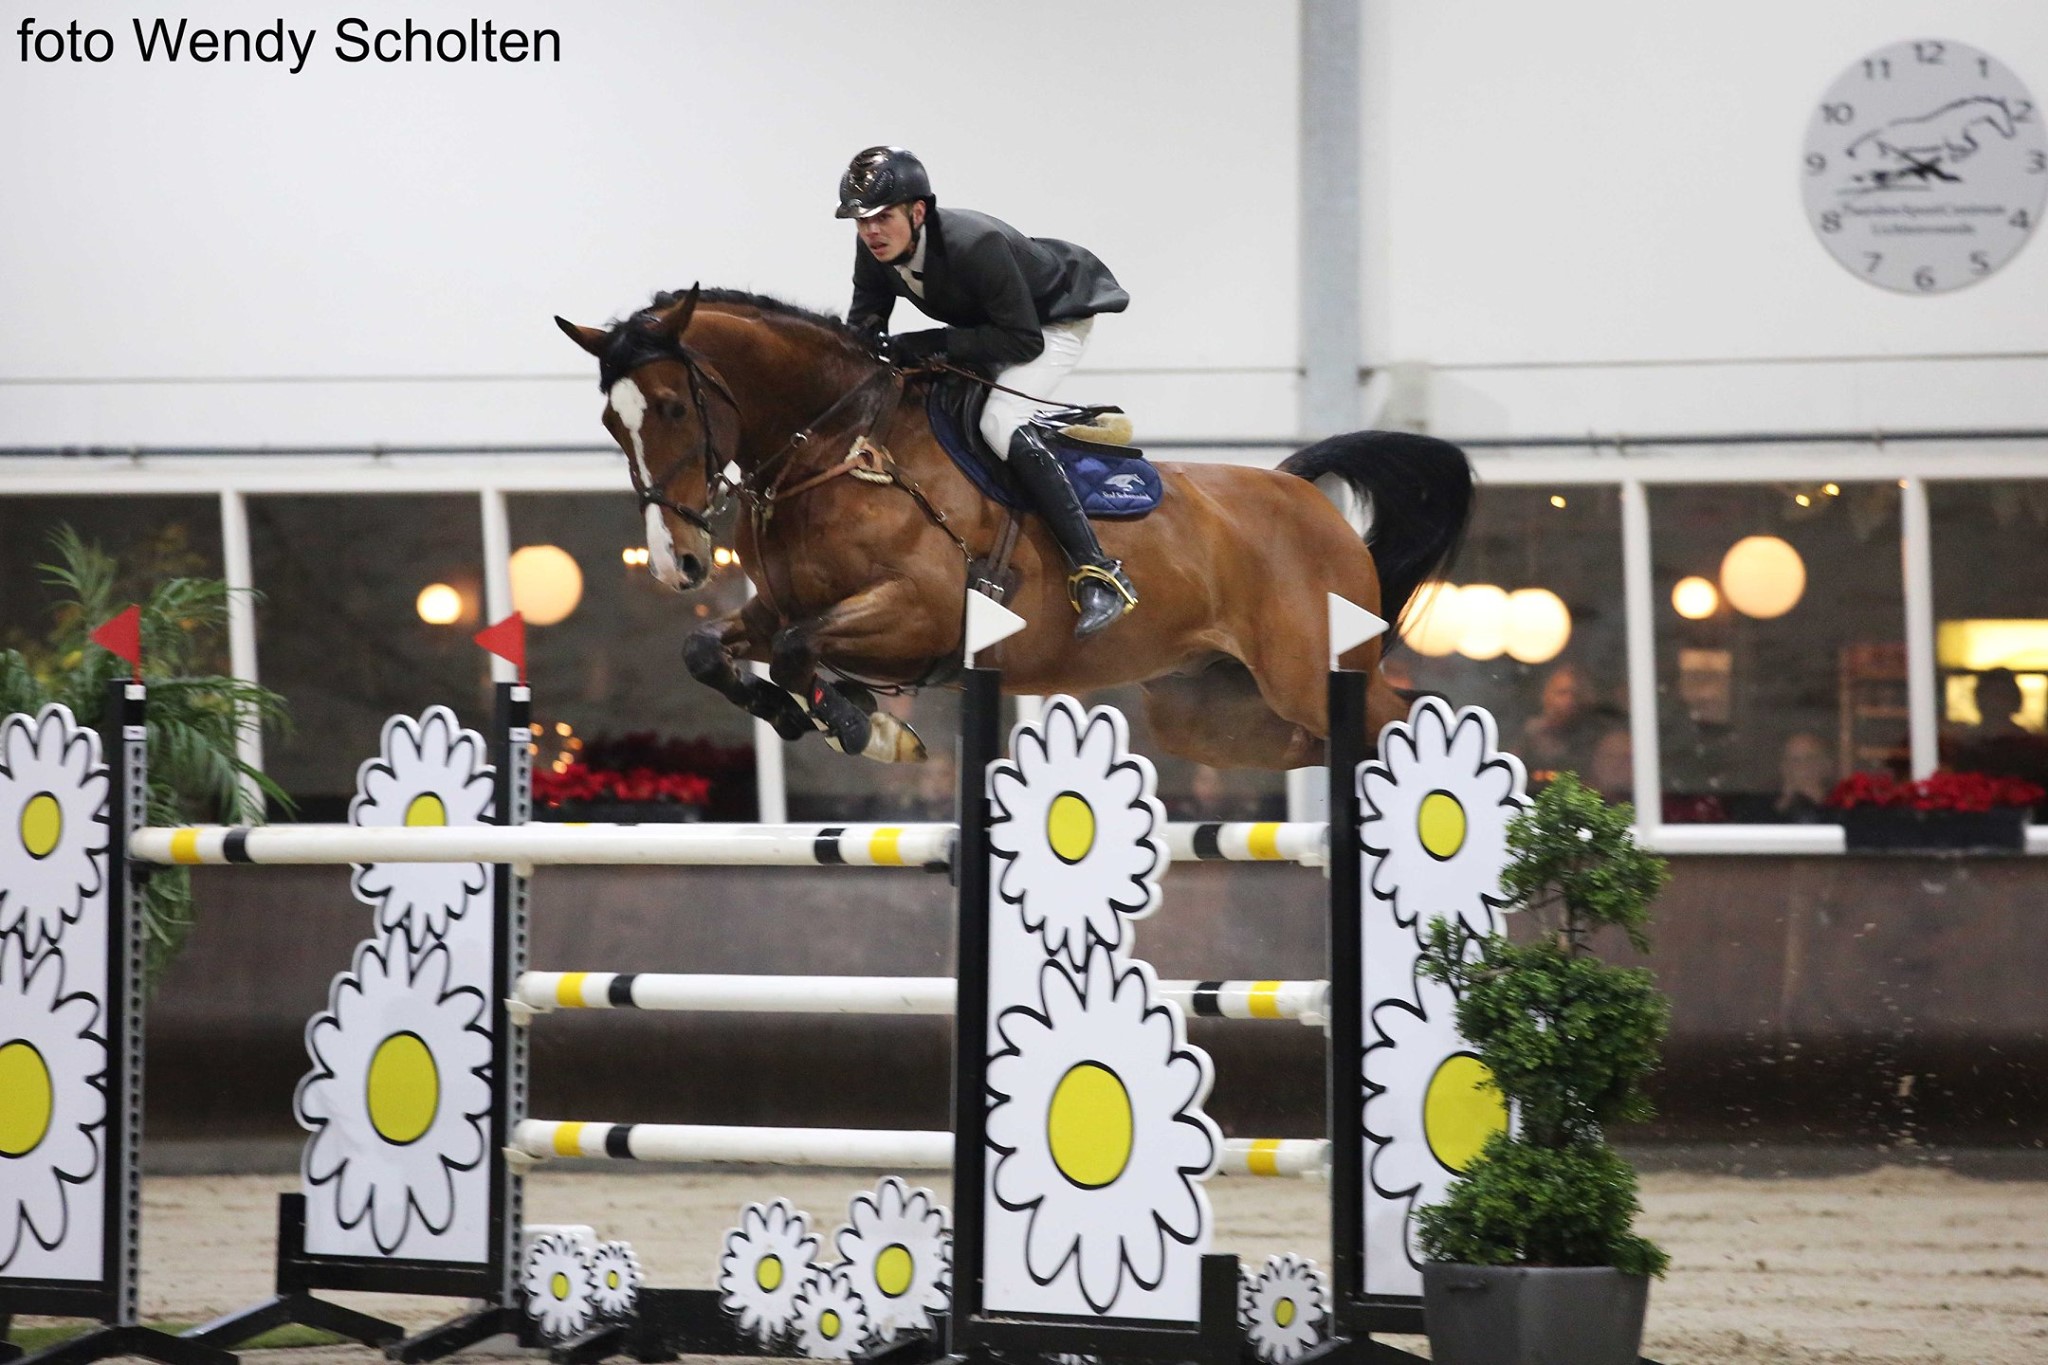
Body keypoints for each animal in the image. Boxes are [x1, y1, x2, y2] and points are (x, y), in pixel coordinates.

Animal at [561, 286, 1474, 769]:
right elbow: (710, 648)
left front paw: (866, 726)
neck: (832, 444)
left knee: (1398, 711)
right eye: (610, 422)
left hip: (1307, 675)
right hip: (1222, 717)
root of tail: (1306, 499)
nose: (677, 563)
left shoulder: (923, 611)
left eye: (673, 407)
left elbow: (796, 651)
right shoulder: (777, 606)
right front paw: (812, 717)